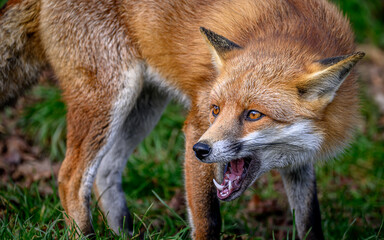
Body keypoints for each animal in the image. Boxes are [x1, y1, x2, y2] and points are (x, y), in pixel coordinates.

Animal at [0, 0, 364, 238]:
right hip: (109, 100)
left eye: (253, 115)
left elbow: (310, 222)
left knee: (105, 172)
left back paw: (123, 233)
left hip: (144, 106)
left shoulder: (300, 160)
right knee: (70, 178)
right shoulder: (196, 126)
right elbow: (207, 222)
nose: (201, 150)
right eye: (216, 109)